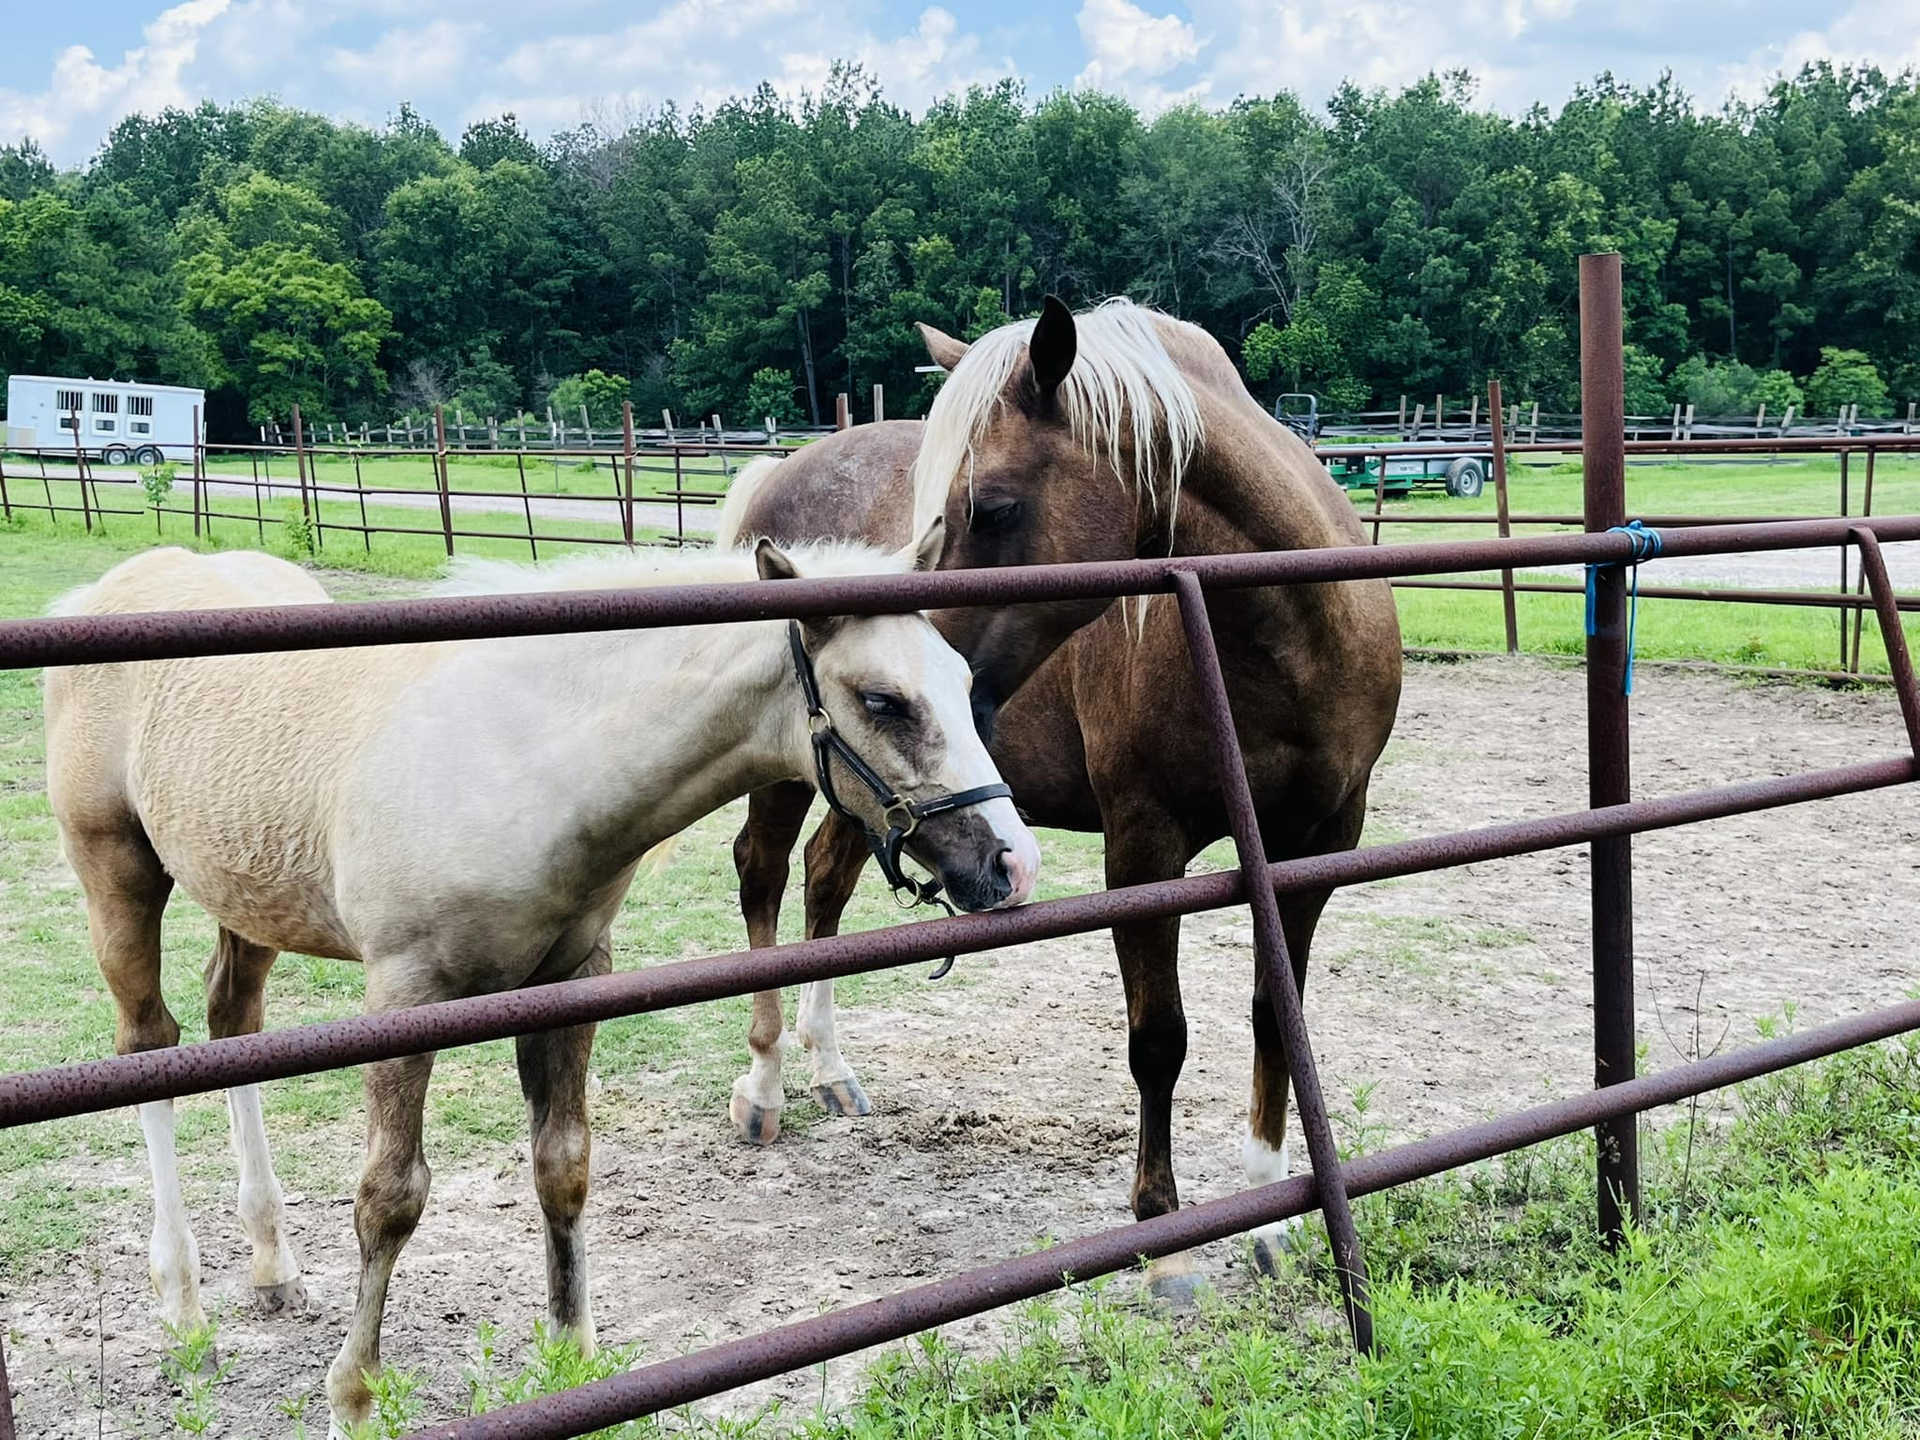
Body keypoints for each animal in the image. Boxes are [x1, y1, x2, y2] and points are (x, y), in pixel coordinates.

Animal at [43, 535, 1039, 1432]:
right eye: (882, 700)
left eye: (961, 681)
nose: (1012, 863)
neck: (526, 756)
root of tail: (109, 588)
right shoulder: (403, 997)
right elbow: (389, 1199)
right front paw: (353, 1400)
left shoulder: (572, 978)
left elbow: (563, 1166)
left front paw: (571, 1354)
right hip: (118, 876)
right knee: (149, 1046)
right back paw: (182, 1303)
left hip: (246, 898)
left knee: (232, 1023)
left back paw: (272, 1264)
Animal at [715, 296, 1402, 1299]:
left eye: (993, 508)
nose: (939, 683)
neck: (1282, 637)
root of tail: (783, 469)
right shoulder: (1144, 845)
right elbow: (1159, 1037)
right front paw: (1166, 1238)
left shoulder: (1316, 845)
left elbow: (1278, 1017)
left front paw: (1273, 1215)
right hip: (791, 768)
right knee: (762, 874)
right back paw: (764, 1088)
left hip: (873, 789)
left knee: (823, 883)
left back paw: (832, 1072)